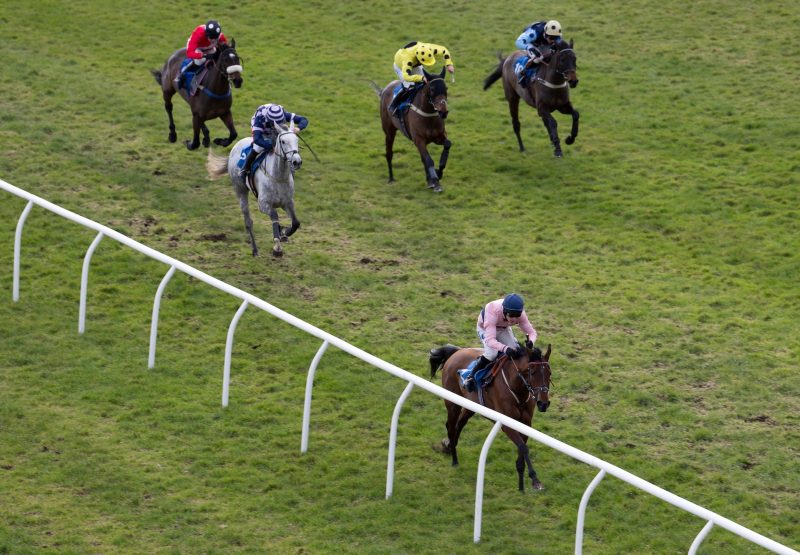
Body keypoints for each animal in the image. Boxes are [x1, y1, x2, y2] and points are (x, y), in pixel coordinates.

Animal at [206, 122, 304, 258]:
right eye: (283, 141)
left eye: (296, 140)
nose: (297, 162)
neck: (278, 177)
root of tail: (236, 145)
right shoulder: (263, 204)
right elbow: (275, 216)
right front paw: (277, 247)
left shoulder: (288, 202)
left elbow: (295, 223)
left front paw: (284, 232)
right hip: (240, 191)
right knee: (248, 222)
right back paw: (255, 250)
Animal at [432, 346, 552, 494]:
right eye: (533, 373)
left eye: (549, 373)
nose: (543, 403)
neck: (517, 389)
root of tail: (457, 352)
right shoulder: (506, 425)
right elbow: (523, 448)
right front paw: (535, 480)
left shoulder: (525, 424)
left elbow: (521, 449)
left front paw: (521, 485)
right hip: (453, 402)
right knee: (451, 426)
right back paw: (454, 458)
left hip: (471, 405)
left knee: (459, 424)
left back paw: (450, 446)